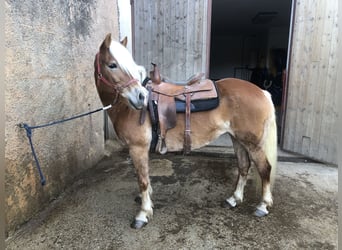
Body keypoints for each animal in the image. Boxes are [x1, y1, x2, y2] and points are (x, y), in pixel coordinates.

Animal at [93, 34, 278, 229]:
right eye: (112, 65)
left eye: (117, 64)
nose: (141, 97)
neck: (126, 108)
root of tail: (262, 92)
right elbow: (147, 178)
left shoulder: (137, 148)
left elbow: (142, 181)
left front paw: (143, 214)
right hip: (238, 139)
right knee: (243, 167)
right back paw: (234, 199)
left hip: (253, 144)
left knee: (265, 168)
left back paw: (263, 206)